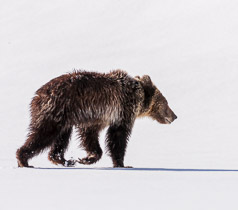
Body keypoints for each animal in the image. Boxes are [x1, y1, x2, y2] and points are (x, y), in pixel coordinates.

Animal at [16, 69, 177, 168]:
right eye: (166, 103)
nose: (175, 116)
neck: (138, 95)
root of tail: (37, 95)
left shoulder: (98, 116)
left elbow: (90, 135)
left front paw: (86, 158)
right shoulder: (122, 110)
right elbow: (117, 137)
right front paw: (122, 163)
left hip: (64, 117)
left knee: (61, 138)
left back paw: (63, 160)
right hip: (56, 110)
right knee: (44, 134)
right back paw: (24, 159)